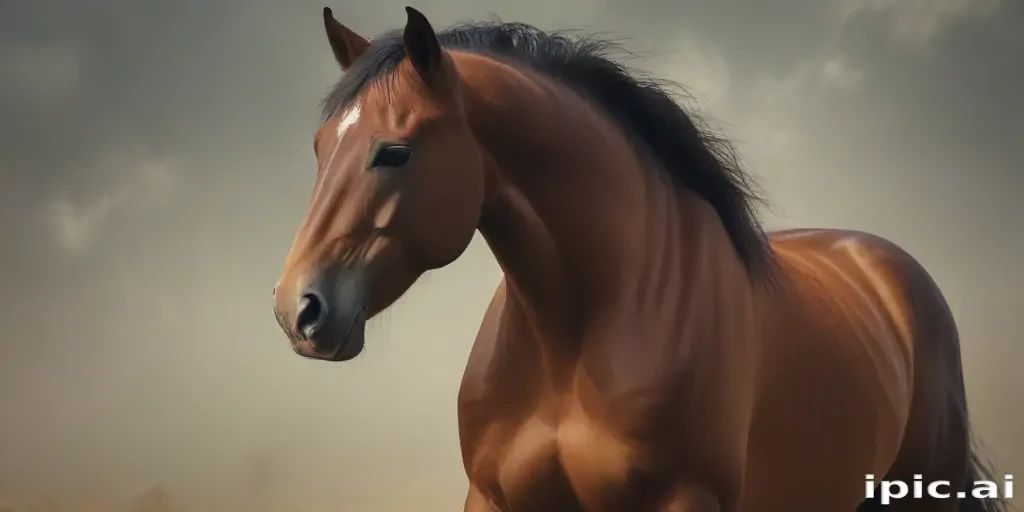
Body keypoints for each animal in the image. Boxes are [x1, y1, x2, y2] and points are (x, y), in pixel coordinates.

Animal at [271, 6, 1007, 512]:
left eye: (394, 152)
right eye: (319, 146)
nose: (297, 310)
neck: (572, 341)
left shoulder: (684, 498)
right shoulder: (495, 498)